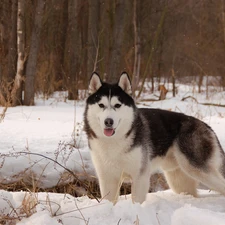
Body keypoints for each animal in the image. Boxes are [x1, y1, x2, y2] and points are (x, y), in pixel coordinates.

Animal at [83, 72, 225, 204]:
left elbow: (137, 201)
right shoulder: (107, 178)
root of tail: (206, 126)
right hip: (178, 179)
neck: (113, 141)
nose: (108, 121)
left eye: (117, 105)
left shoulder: (140, 176)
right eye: (101, 105)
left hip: (197, 169)